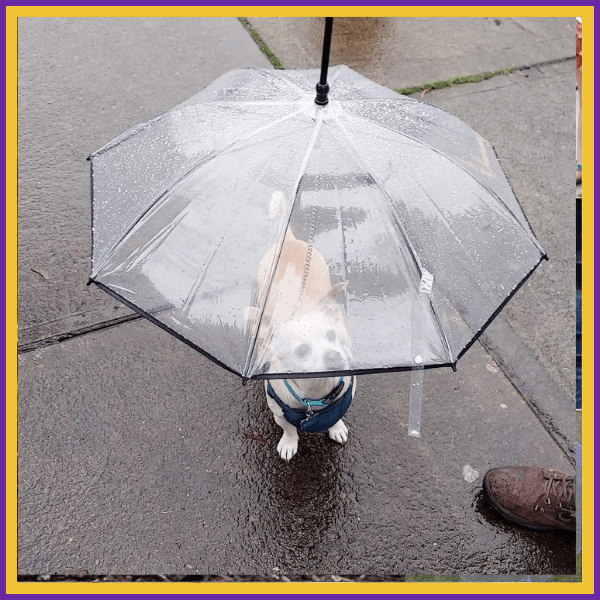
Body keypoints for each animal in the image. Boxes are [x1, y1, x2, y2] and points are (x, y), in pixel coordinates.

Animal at [245, 190, 356, 462]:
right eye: (301, 351)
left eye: (332, 335)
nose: (334, 356)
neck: (315, 396)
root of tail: (291, 240)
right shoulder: (278, 411)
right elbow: (289, 428)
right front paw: (289, 442)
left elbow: (337, 415)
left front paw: (336, 427)